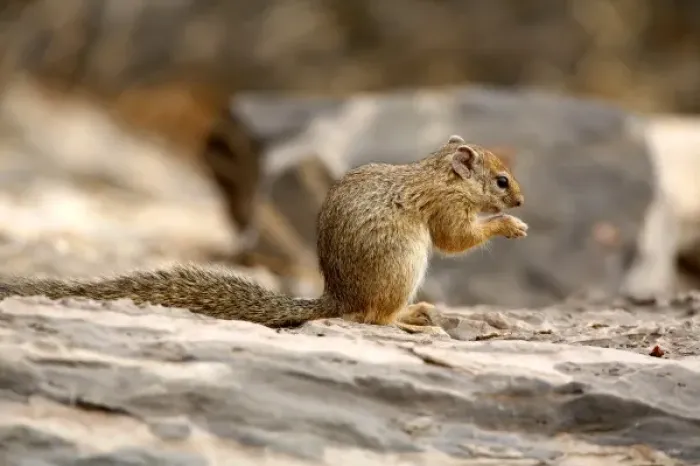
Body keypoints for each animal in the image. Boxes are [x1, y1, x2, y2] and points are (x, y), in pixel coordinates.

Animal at [0, 135, 527, 331]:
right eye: (502, 180)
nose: (522, 201)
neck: (440, 174)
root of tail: (336, 298)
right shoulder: (446, 209)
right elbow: (456, 240)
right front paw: (510, 225)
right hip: (403, 266)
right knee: (374, 317)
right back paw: (410, 316)